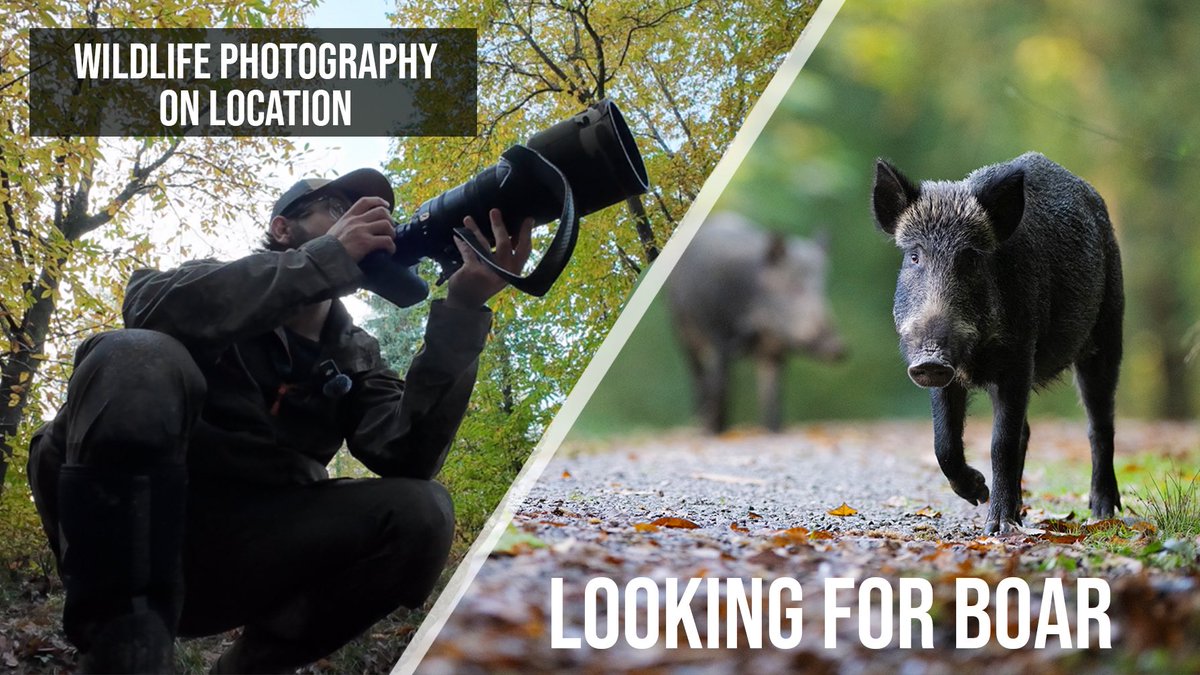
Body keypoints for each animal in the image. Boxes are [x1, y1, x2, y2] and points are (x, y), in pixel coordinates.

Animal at [667, 212, 845, 434]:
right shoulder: (719, 335)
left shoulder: (774, 351)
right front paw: (718, 432)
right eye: (793, 287)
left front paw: (774, 431)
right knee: (698, 376)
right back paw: (703, 426)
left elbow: (773, 396)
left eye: (822, 288)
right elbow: (721, 389)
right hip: (682, 328)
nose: (838, 349)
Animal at [871, 152, 1124, 534]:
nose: (930, 359)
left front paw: (996, 526)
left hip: (1108, 333)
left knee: (1099, 424)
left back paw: (1102, 513)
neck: (973, 356)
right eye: (914, 257)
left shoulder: (1019, 357)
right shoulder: (946, 378)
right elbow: (943, 441)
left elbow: (1000, 442)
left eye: (971, 258)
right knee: (1027, 432)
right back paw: (1019, 511)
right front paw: (979, 494)